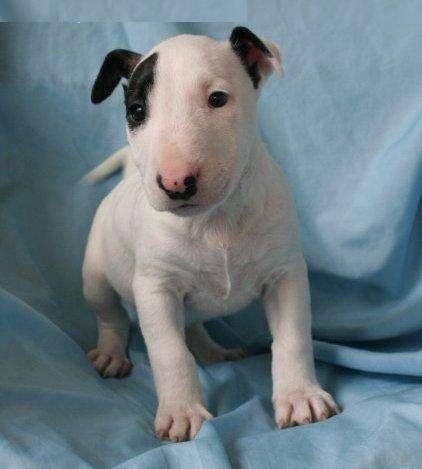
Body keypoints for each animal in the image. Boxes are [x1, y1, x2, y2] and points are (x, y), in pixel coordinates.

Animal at [84, 26, 342, 442]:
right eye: (137, 110)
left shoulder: (285, 275)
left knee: (193, 324)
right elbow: (169, 352)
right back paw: (111, 353)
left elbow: (293, 338)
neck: (215, 220)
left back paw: (212, 351)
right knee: (111, 316)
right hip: (95, 275)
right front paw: (182, 412)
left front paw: (300, 397)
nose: (175, 182)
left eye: (218, 99)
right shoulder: (155, 288)